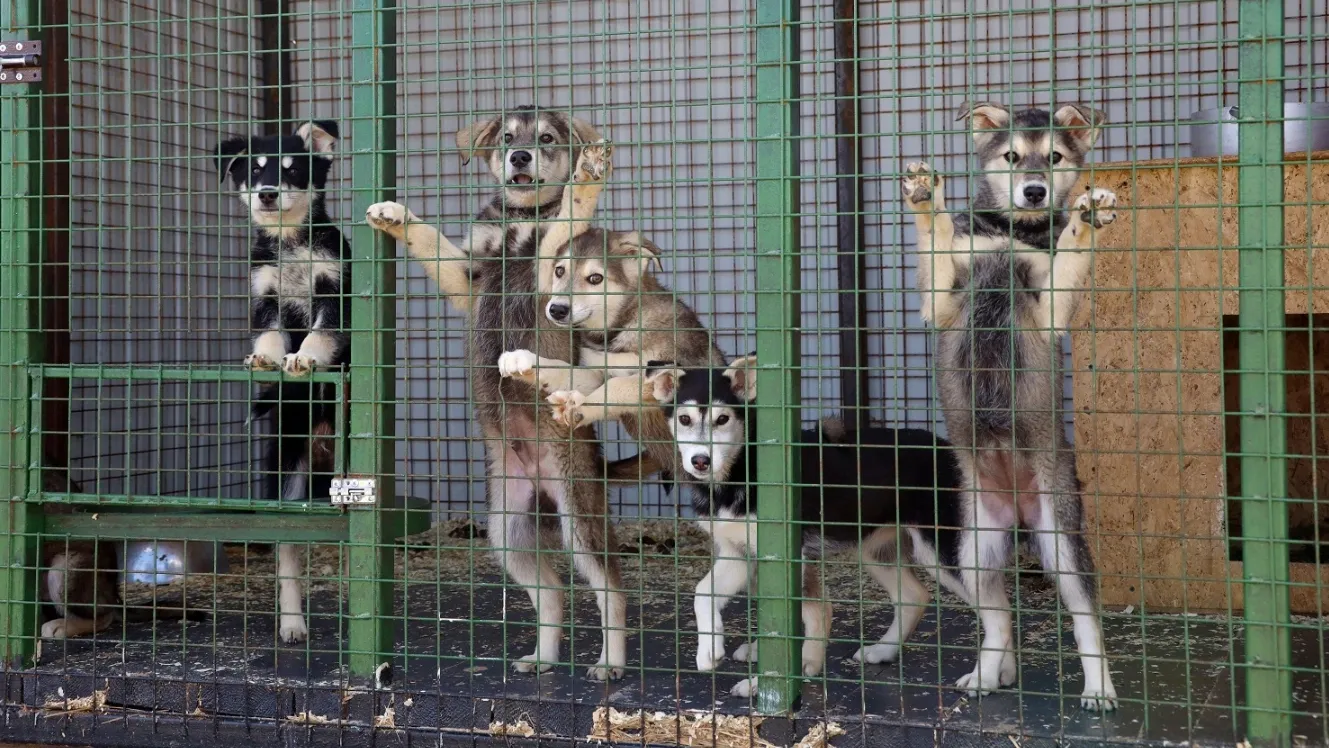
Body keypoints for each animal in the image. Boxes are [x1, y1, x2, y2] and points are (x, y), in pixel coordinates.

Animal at [358, 108, 637, 680]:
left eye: (547, 139)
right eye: (507, 138)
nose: (520, 157)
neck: (519, 215)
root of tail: (542, 477)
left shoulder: (550, 257)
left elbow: (571, 210)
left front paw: (588, 176)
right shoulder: (469, 275)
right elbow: (433, 244)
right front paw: (396, 216)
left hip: (580, 517)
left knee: (611, 590)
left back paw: (610, 664)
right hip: (506, 531)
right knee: (552, 592)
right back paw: (543, 657)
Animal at [643, 358, 967, 701]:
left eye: (722, 419)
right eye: (684, 419)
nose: (700, 460)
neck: (741, 469)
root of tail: (951, 450)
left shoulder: (789, 555)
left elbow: (813, 614)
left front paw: (791, 672)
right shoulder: (738, 553)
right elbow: (702, 592)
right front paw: (709, 650)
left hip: (945, 551)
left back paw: (982, 678)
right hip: (874, 550)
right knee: (915, 596)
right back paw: (883, 650)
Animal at [903, 102, 1121, 712]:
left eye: (1055, 157)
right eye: (1011, 156)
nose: (1033, 192)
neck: (1011, 236)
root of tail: (1021, 515)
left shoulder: (1049, 308)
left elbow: (1070, 253)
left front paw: (1085, 218)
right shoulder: (943, 298)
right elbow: (937, 239)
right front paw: (927, 200)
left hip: (1062, 542)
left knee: (1086, 622)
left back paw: (1099, 689)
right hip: (971, 548)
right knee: (999, 621)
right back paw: (987, 674)